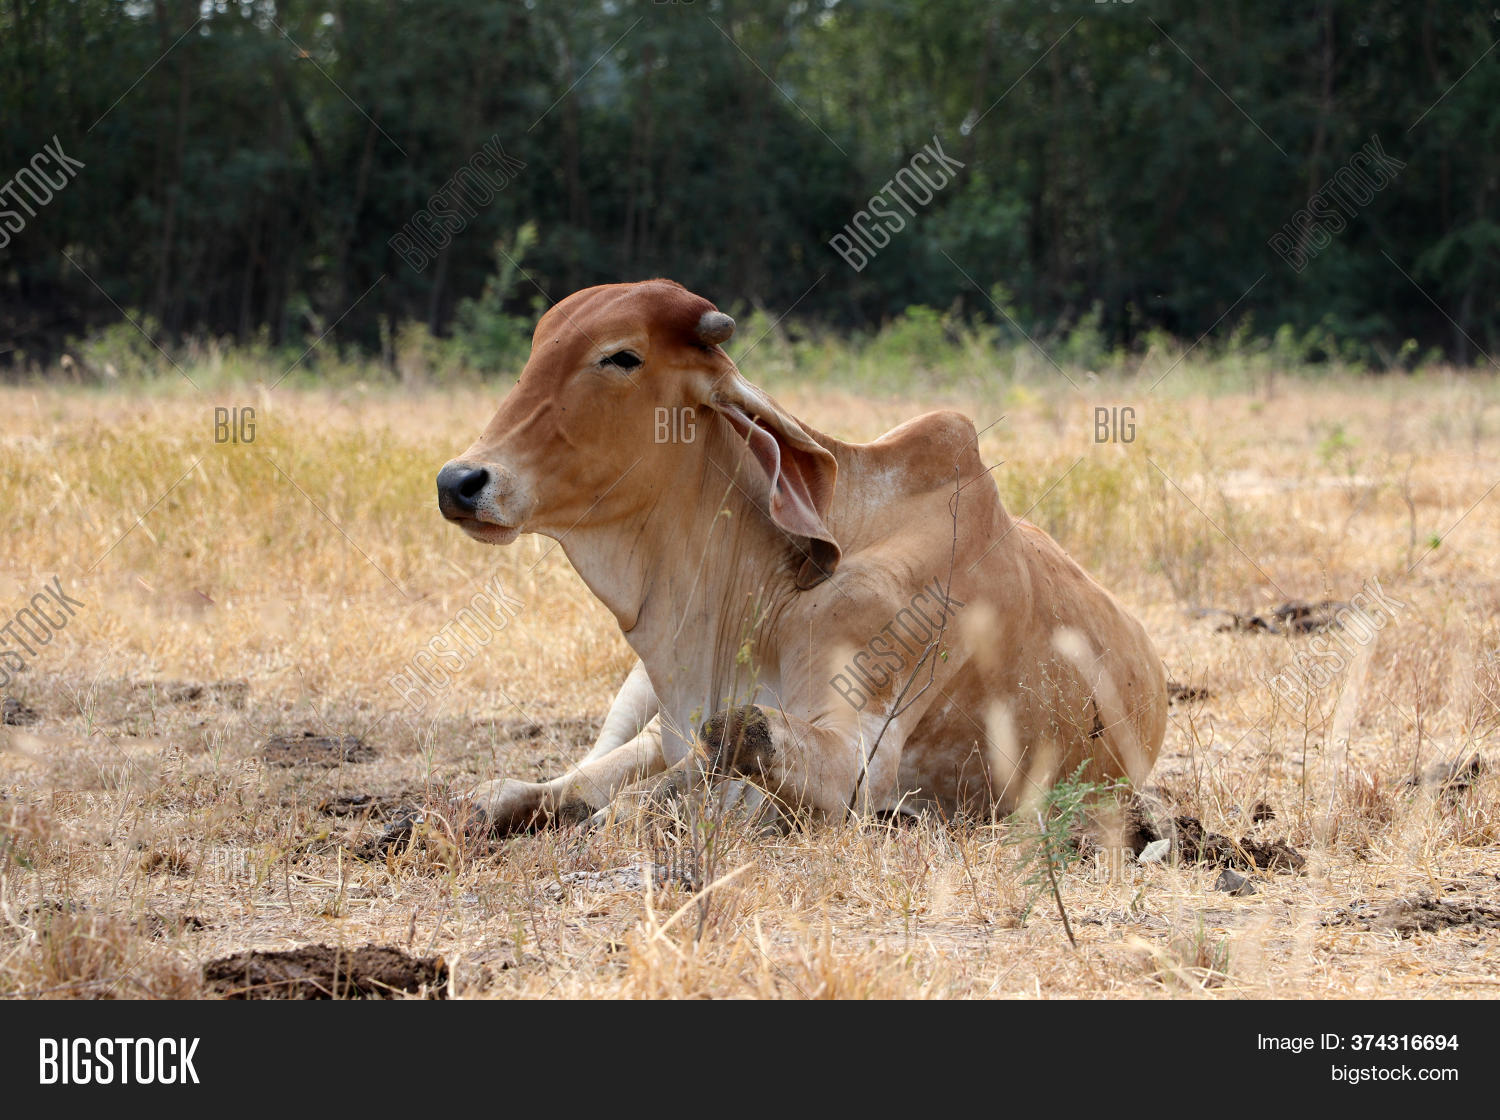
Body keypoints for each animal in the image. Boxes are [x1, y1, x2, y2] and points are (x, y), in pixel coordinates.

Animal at [436, 279, 1167, 832]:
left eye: (621, 356)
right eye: (537, 348)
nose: (460, 481)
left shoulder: (854, 762)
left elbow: (725, 747)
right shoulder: (664, 725)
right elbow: (585, 781)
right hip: (632, 692)